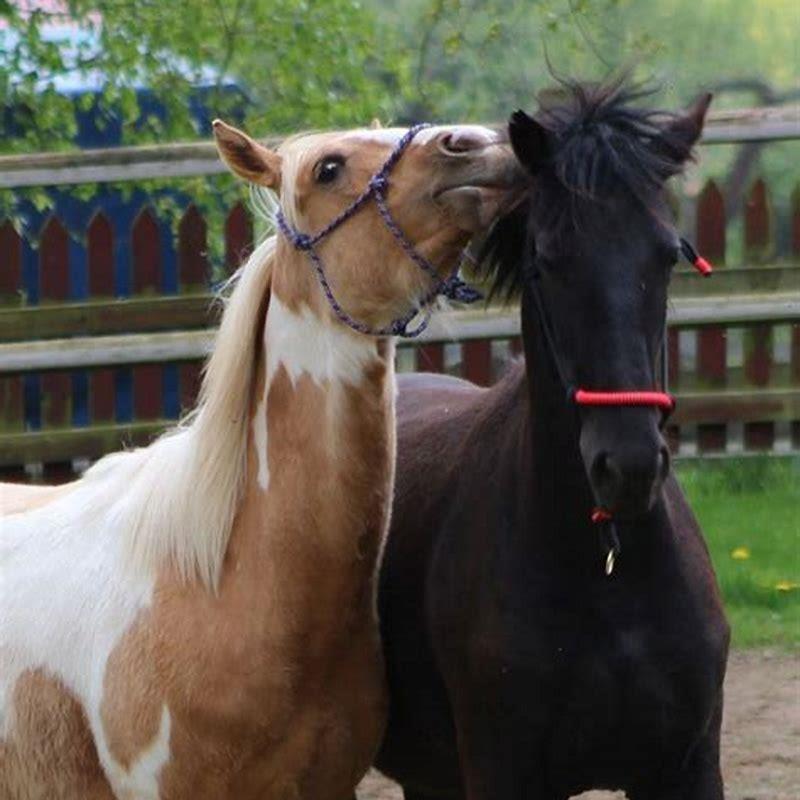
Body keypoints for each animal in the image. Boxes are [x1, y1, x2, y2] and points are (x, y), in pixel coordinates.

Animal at [375, 80, 730, 800]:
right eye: (546, 261)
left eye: (667, 256)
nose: (627, 466)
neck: (610, 572)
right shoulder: (502, 774)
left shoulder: (689, 768)